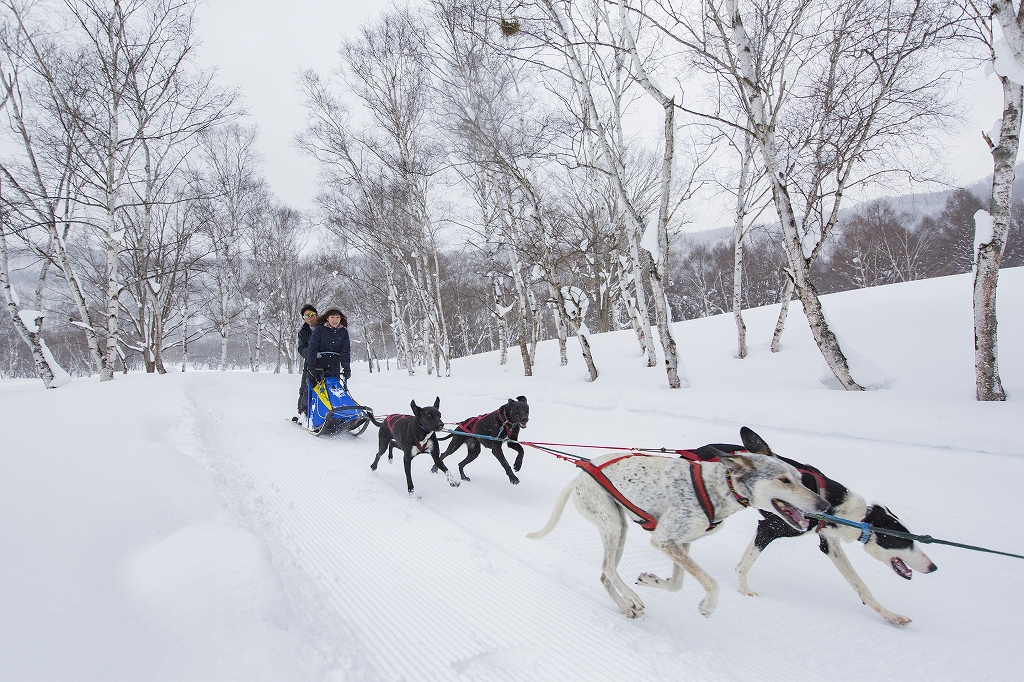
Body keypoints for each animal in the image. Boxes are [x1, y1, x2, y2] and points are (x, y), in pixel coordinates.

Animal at [524, 428, 827, 618]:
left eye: (800, 478)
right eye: (784, 480)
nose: (823, 506)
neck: (718, 486)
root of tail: (578, 476)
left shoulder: (680, 543)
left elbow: (678, 583)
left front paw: (653, 580)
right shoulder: (664, 540)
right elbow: (711, 583)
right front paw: (708, 606)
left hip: (619, 528)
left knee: (604, 573)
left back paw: (626, 605)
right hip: (612, 525)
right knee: (608, 568)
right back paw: (631, 598)